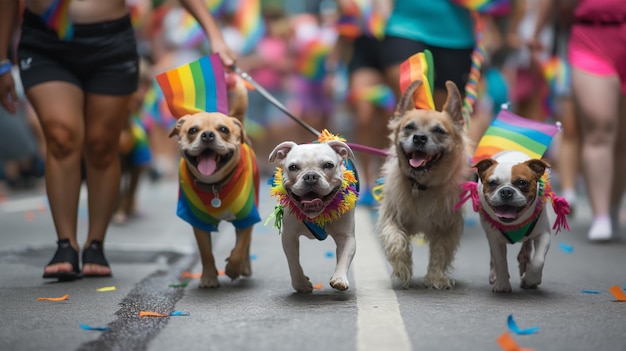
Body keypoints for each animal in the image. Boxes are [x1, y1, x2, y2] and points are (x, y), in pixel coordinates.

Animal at [376, 81, 468, 290]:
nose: (419, 138)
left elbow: (440, 253)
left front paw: (436, 277)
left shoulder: (447, 227)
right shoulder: (392, 218)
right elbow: (396, 241)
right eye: (409, 127)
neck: (421, 186)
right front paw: (403, 268)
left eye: (438, 131)